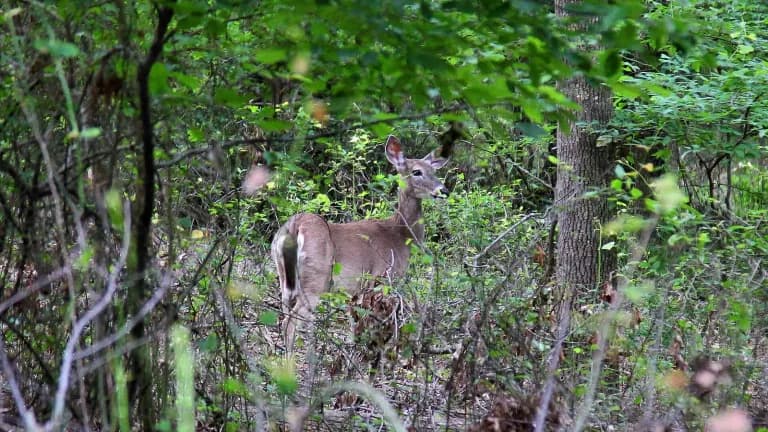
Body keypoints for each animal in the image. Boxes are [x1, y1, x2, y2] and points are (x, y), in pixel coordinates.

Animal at [271, 134, 453, 352]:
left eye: (434, 170)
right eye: (416, 171)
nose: (444, 190)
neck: (400, 234)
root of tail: (294, 226)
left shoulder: (355, 290)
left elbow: (354, 325)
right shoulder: (383, 278)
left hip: (284, 276)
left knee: (283, 315)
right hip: (316, 278)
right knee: (290, 322)